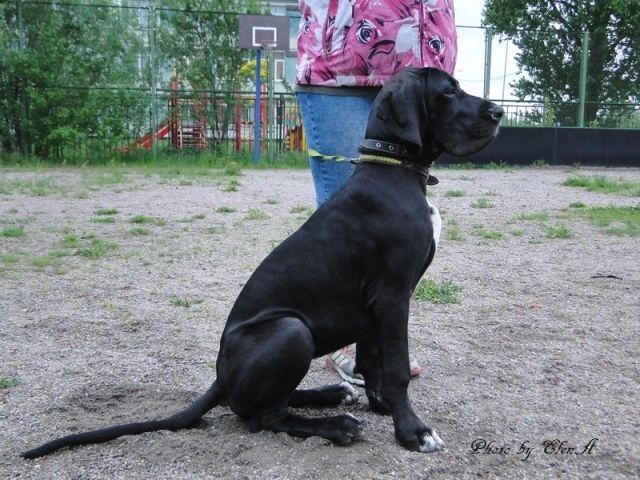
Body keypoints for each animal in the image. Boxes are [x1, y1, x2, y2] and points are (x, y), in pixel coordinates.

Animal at [22, 67, 502, 459]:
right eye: (447, 92)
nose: (498, 112)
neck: (393, 169)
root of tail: (219, 377)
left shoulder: (378, 304)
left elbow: (373, 360)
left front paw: (381, 405)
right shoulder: (392, 294)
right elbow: (397, 368)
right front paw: (412, 432)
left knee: (272, 402)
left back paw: (331, 395)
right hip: (291, 330)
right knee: (260, 416)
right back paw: (335, 425)